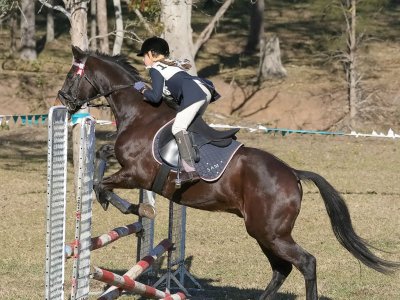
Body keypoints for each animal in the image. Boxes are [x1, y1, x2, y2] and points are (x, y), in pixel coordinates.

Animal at [57, 45, 398, 298]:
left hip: (270, 231)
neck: (141, 112)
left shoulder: (136, 174)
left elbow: (103, 185)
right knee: (282, 269)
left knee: (306, 263)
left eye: (71, 75)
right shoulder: (127, 167)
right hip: (262, 231)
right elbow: (101, 156)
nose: (63, 99)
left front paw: (136, 208)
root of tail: (293, 174)